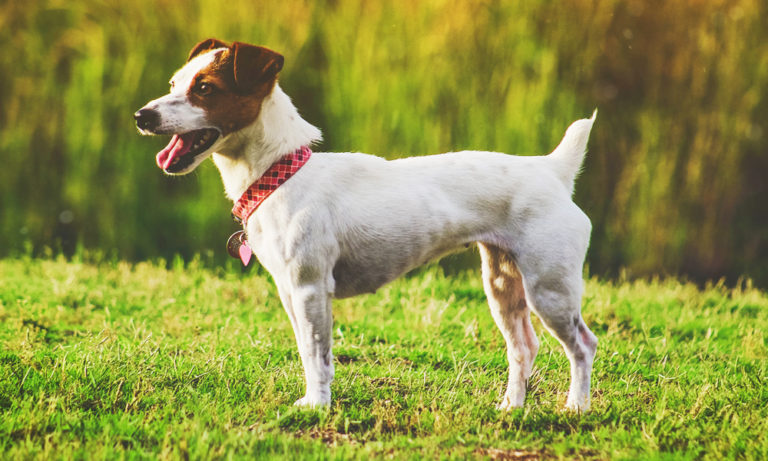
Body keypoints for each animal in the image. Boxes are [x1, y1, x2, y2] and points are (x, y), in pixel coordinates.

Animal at [135, 37, 596, 408]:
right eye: (174, 84)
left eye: (205, 89)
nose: (141, 116)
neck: (281, 174)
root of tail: (553, 169)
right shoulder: (289, 291)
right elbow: (305, 352)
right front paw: (311, 399)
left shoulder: (310, 288)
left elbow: (318, 355)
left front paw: (318, 406)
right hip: (502, 284)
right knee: (524, 347)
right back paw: (511, 407)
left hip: (549, 288)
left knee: (583, 346)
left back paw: (576, 406)